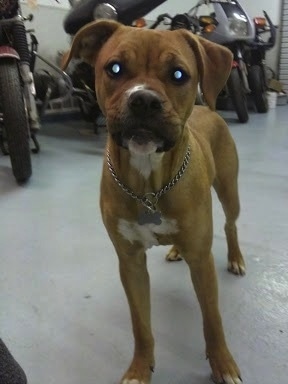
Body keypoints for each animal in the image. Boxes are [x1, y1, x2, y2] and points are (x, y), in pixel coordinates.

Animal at [63, 21, 245, 384]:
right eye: (115, 68)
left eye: (178, 74)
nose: (144, 99)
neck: (149, 184)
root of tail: (208, 108)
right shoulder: (130, 262)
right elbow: (141, 326)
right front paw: (139, 368)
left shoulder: (202, 261)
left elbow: (213, 320)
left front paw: (223, 364)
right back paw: (175, 249)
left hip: (229, 192)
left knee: (231, 225)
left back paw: (235, 258)